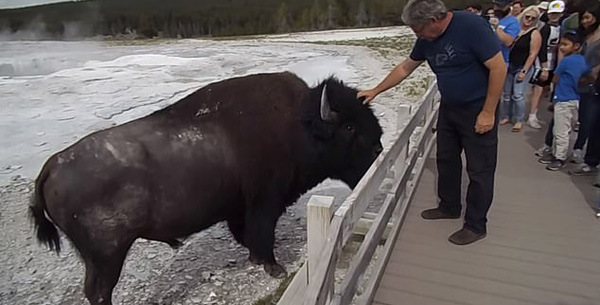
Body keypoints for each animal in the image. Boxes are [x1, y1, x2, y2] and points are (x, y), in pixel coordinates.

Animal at [28, 72, 382, 304]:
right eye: (350, 127)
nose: (379, 148)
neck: (299, 124)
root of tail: (52, 165)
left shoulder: (241, 209)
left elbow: (249, 235)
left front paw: (257, 260)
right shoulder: (264, 203)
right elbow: (262, 234)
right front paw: (274, 268)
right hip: (106, 256)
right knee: (99, 292)